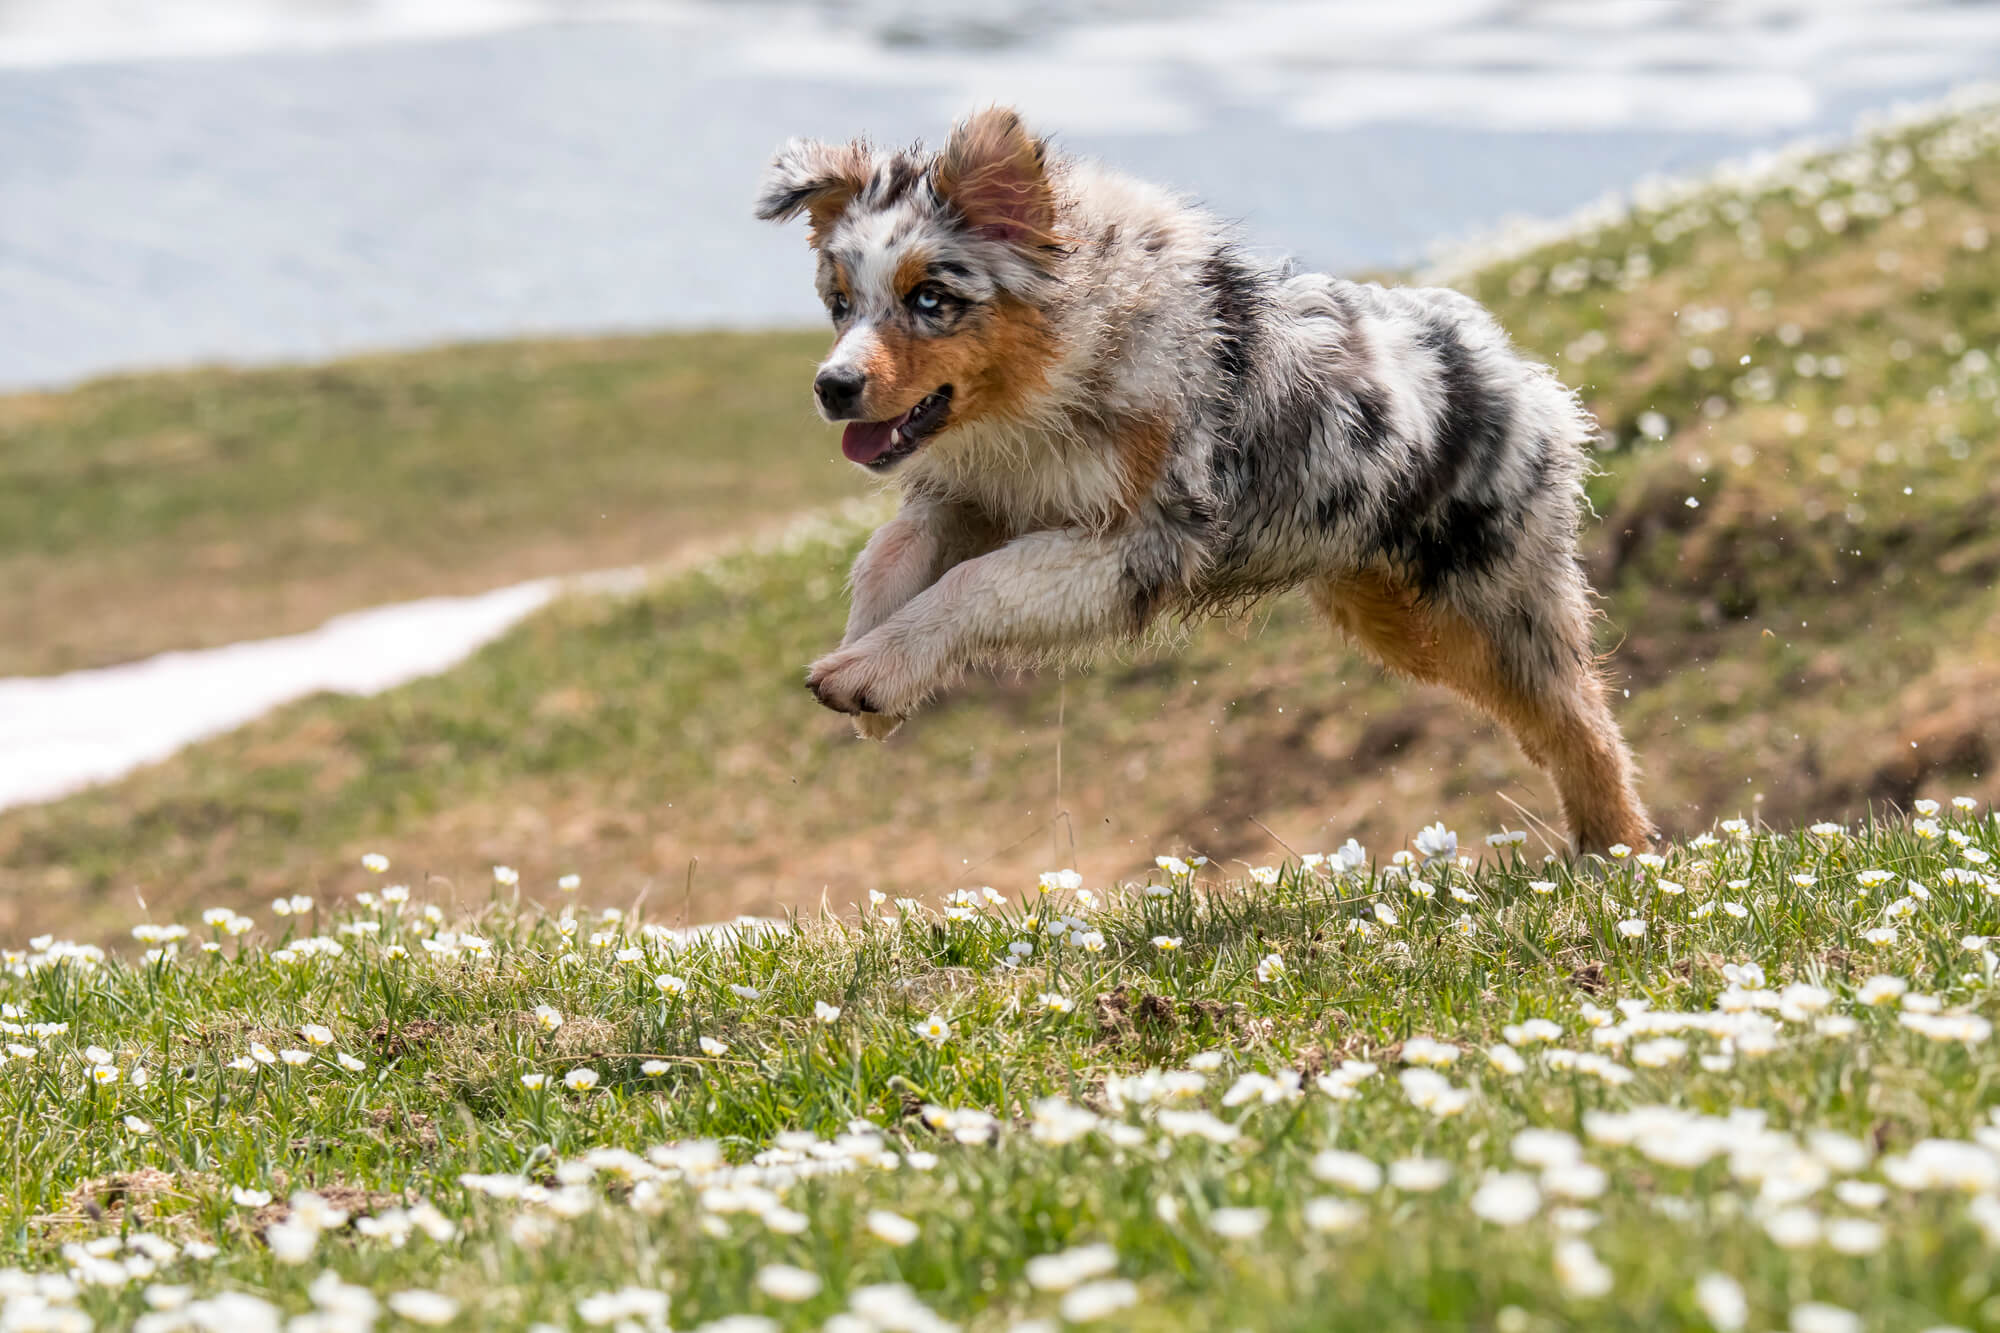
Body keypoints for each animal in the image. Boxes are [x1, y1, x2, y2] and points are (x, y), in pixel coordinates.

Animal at [752, 106, 1656, 852]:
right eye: (839, 302)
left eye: (930, 298)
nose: (832, 387)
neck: (1057, 374)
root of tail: (1517, 368)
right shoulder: (983, 494)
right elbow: (888, 550)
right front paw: (868, 664)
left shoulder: (1144, 539)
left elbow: (980, 584)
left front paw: (871, 672)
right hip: (1395, 612)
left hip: (1494, 598)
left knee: (1580, 719)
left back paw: (1617, 855)